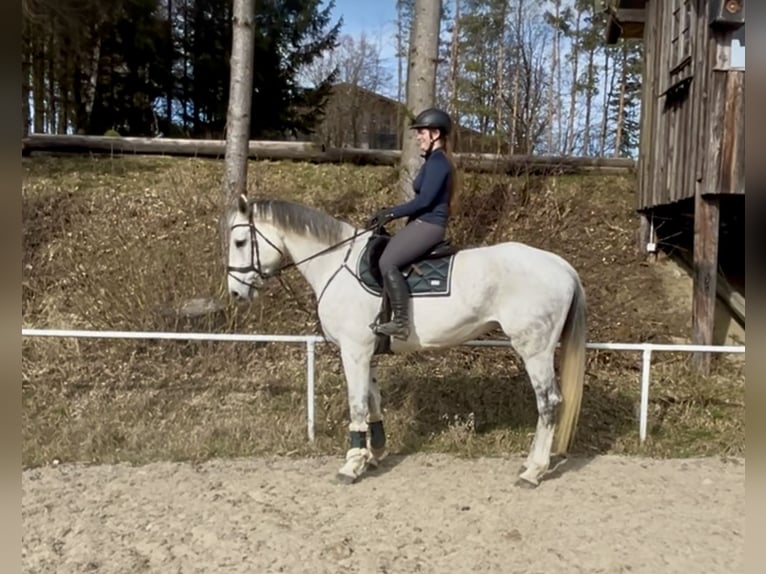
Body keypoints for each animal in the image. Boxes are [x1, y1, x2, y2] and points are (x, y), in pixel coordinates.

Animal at [228, 196, 588, 488]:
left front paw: (352, 464)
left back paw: (534, 471)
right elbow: (372, 398)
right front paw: (374, 453)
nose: (235, 292)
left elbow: (357, 403)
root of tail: (561, 266)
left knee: (548, 402)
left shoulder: (353, 350)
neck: (336, 264)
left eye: (240, 241)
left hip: (535, 351)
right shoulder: (367, 352)